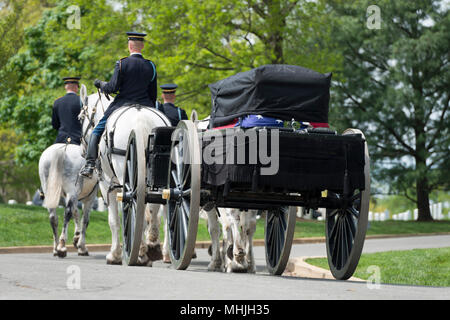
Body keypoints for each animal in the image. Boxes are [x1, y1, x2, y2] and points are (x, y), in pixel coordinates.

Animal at [39, 85, 99, 258]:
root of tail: (61, 151)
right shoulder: (89, 196)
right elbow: (84, 218)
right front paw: (81, 245)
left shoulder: (71, 194)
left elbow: (75, 212)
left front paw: (77, 237)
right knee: (66, 213)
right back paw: (61, 246)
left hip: (50, 188)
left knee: (53, 216)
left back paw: (55, 248)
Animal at [80, 89, 171, 264]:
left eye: (80, 117)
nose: (82, 150)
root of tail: (141, 118)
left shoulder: (107, 185)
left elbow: (114, 221)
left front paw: (114, 255)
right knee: (160, 211)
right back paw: (159, 250)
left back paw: (141, 251)